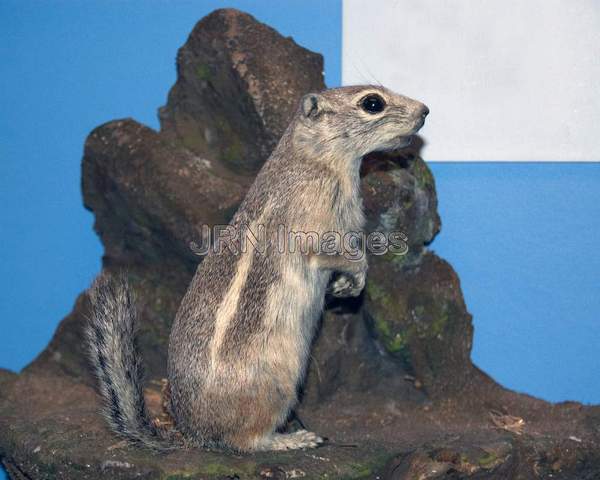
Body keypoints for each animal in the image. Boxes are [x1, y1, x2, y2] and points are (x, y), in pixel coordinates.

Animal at [88, 85, 426, 450]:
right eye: (372, 103)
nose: (425, 110)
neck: (318, 161)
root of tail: (195, 434)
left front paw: (345, 287)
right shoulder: (315, 231)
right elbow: (342, 255)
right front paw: (357, 274)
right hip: (278, 384)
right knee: (246, 440)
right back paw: (293, 439)